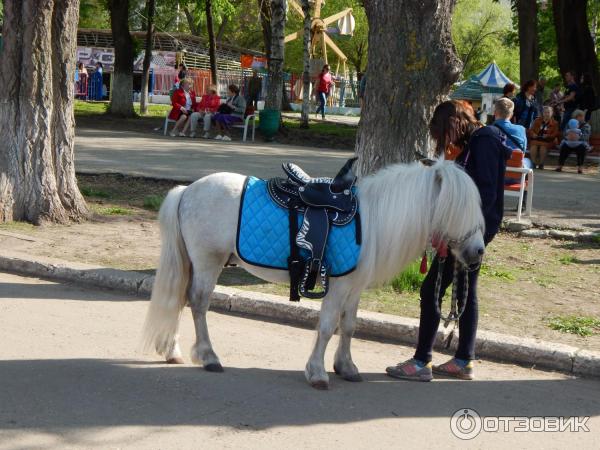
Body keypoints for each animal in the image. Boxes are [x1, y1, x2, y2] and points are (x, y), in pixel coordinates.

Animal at [143, 160, 486, 388]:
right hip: (207, 263)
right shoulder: (338, 287)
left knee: (180, 300)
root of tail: (187, 190)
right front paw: (318, 372)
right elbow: (326, 327)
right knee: (198, 304)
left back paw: (172, 351)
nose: (478, 252)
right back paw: (208, 356)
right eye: (458, 208)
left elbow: (349, 326)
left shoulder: (354, 289)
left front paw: (346, 366)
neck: (372, 221)